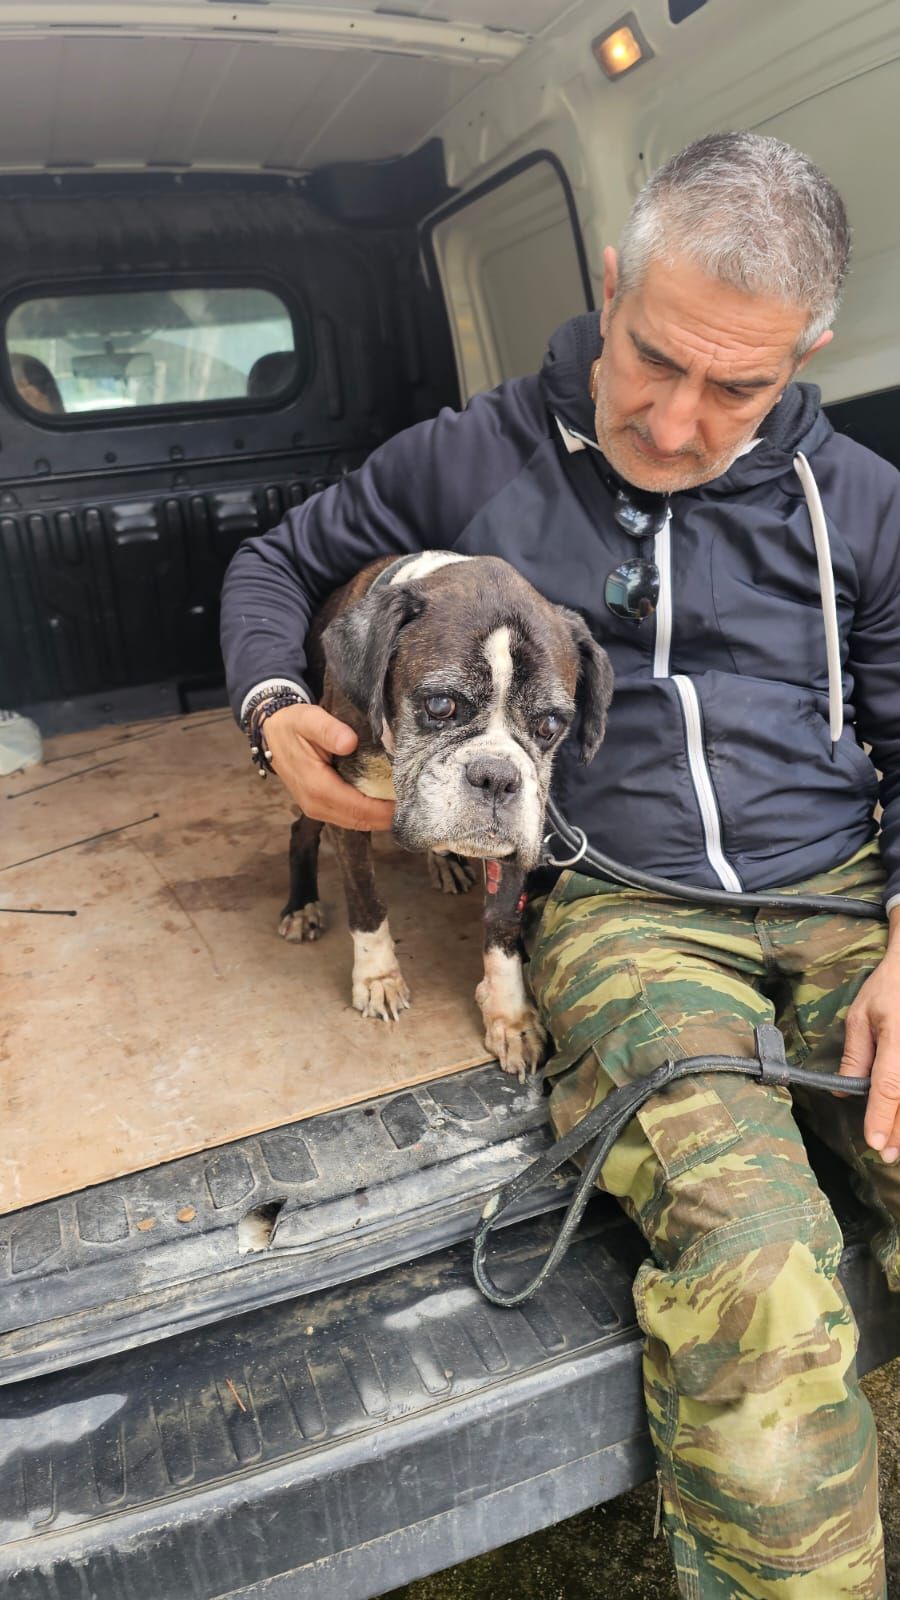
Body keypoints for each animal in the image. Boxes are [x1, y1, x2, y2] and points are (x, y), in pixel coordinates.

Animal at [278, 552, 613, 1078]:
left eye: (549, 725)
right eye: (440, 705)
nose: (497, 776)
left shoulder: (515, 843)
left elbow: (502, 926)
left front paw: (510, 1016)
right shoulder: (343, 809)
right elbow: (366, 904)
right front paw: (377, 978)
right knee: (301, 832)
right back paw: (302, 905)